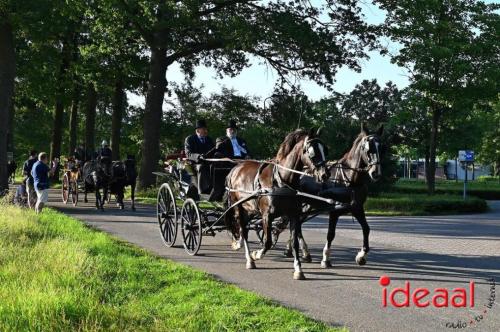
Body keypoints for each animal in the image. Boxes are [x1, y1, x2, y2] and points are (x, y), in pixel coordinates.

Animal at [226, 128, 328, 278]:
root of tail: (235, 168)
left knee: (243, 228)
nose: (325, 175)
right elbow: (268, 242)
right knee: (243, 229)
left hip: (250, 209)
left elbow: (294, 242)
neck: (281, 180)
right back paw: (249, 259)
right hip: (238, 206)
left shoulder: (294, 215)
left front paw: (298, 269)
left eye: (325, 149)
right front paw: (256, 254)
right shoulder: (267, 216)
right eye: (312, 152)